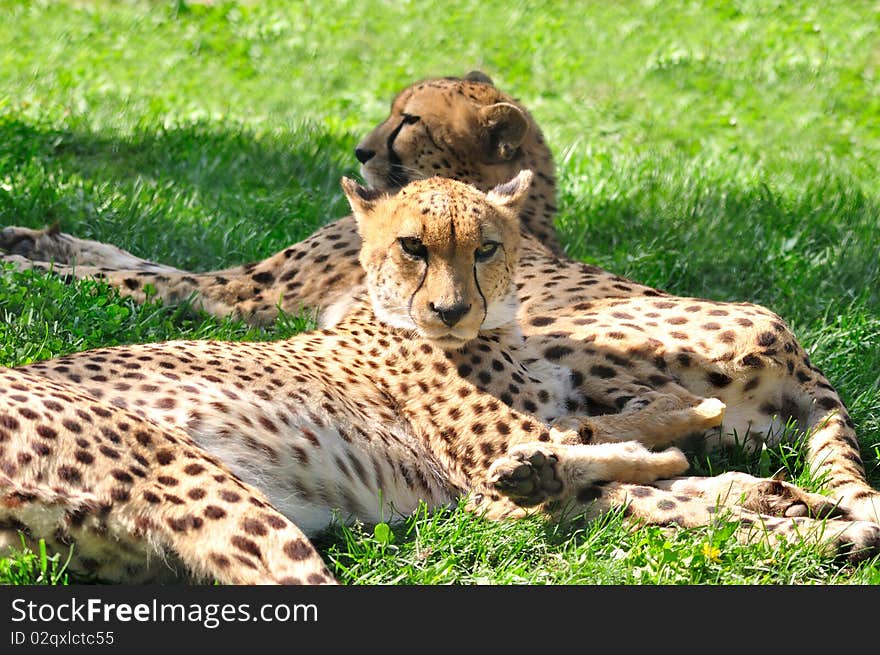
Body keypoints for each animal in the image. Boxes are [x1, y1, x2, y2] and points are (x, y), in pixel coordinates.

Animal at [0, 70, 876, 528]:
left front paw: (23, 259)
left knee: (599, 440)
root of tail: (799, 354)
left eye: (407, 120)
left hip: (572, 348)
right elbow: (121, 251)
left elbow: (133, 275)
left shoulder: (240, 295)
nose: (359, 150)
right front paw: (33, 233)